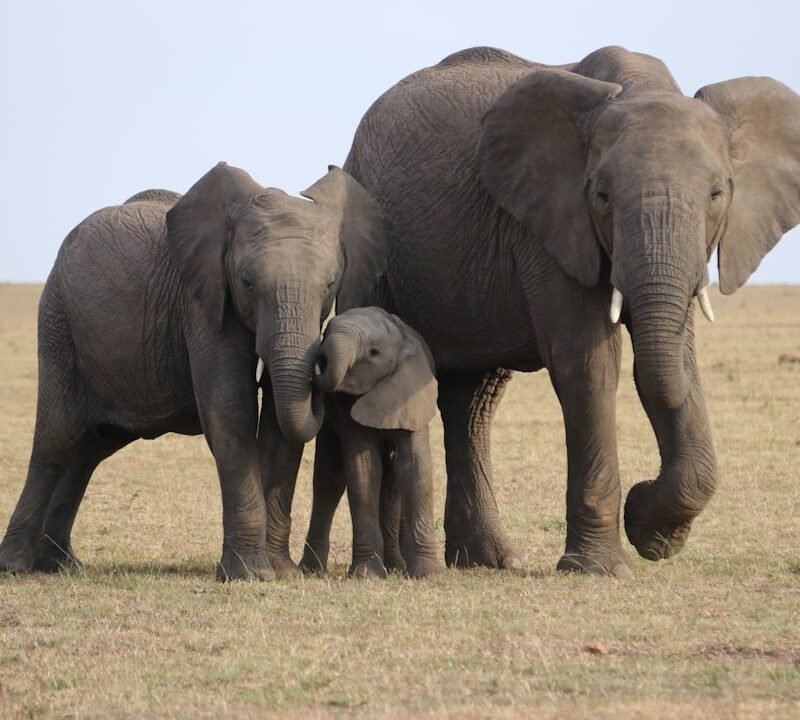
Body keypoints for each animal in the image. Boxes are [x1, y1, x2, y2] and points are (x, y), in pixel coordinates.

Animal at [0, 162, 391, 581]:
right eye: (246, 283)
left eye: (331, 284)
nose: (322, 365)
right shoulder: (201, 303)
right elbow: (231, 410)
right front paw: (251, 574)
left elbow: (277, 423)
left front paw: (281, 572)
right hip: (59, 325)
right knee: (56, 440)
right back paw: (17, 565)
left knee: (89, 448)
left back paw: (61, 565)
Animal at [297, 307, 441, 579]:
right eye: (326, 333)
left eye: (374, 352)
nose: (319, 359)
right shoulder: (344, 405)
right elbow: (363, 468)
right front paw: (367, 575)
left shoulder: (411, 394)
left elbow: (415, 466)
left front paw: (427, 575)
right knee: (328, 480)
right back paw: (311, 570)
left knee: (392, 482)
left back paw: (396, 566)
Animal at [333, 46, 800, 575]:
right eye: (601, 195)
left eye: (718, 194)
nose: (641, 496)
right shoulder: (547, 223)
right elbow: (589, 363)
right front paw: (604, 565)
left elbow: (677, 360)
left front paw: (653, 535)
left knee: (473, 401)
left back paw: (490, 561)